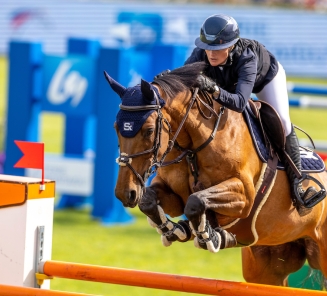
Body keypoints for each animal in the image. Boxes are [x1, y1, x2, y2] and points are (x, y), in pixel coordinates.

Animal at [104, 61, 327, 288]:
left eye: (149, 130)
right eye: (116, 127)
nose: (125, 193)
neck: (194, 145)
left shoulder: (244, 197)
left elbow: (196, 201)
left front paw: (209, 236)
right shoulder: (173, 196)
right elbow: (150, 201)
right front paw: (174, 230)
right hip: (269, 265)